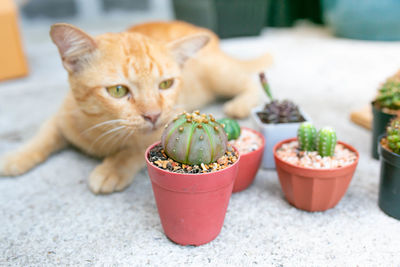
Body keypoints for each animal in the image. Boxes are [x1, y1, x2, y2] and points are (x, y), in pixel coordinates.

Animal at [0, 20, 272, 193]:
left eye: (166, 84)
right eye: (118, 91)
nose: (153, 114)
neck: (102, 131)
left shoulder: (165, 122)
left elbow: (133, 148)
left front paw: (112, 169)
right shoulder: (61, 116)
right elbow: (43, 137)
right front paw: (16, 157)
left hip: (218, 74)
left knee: (251, 79)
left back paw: (240, 103)